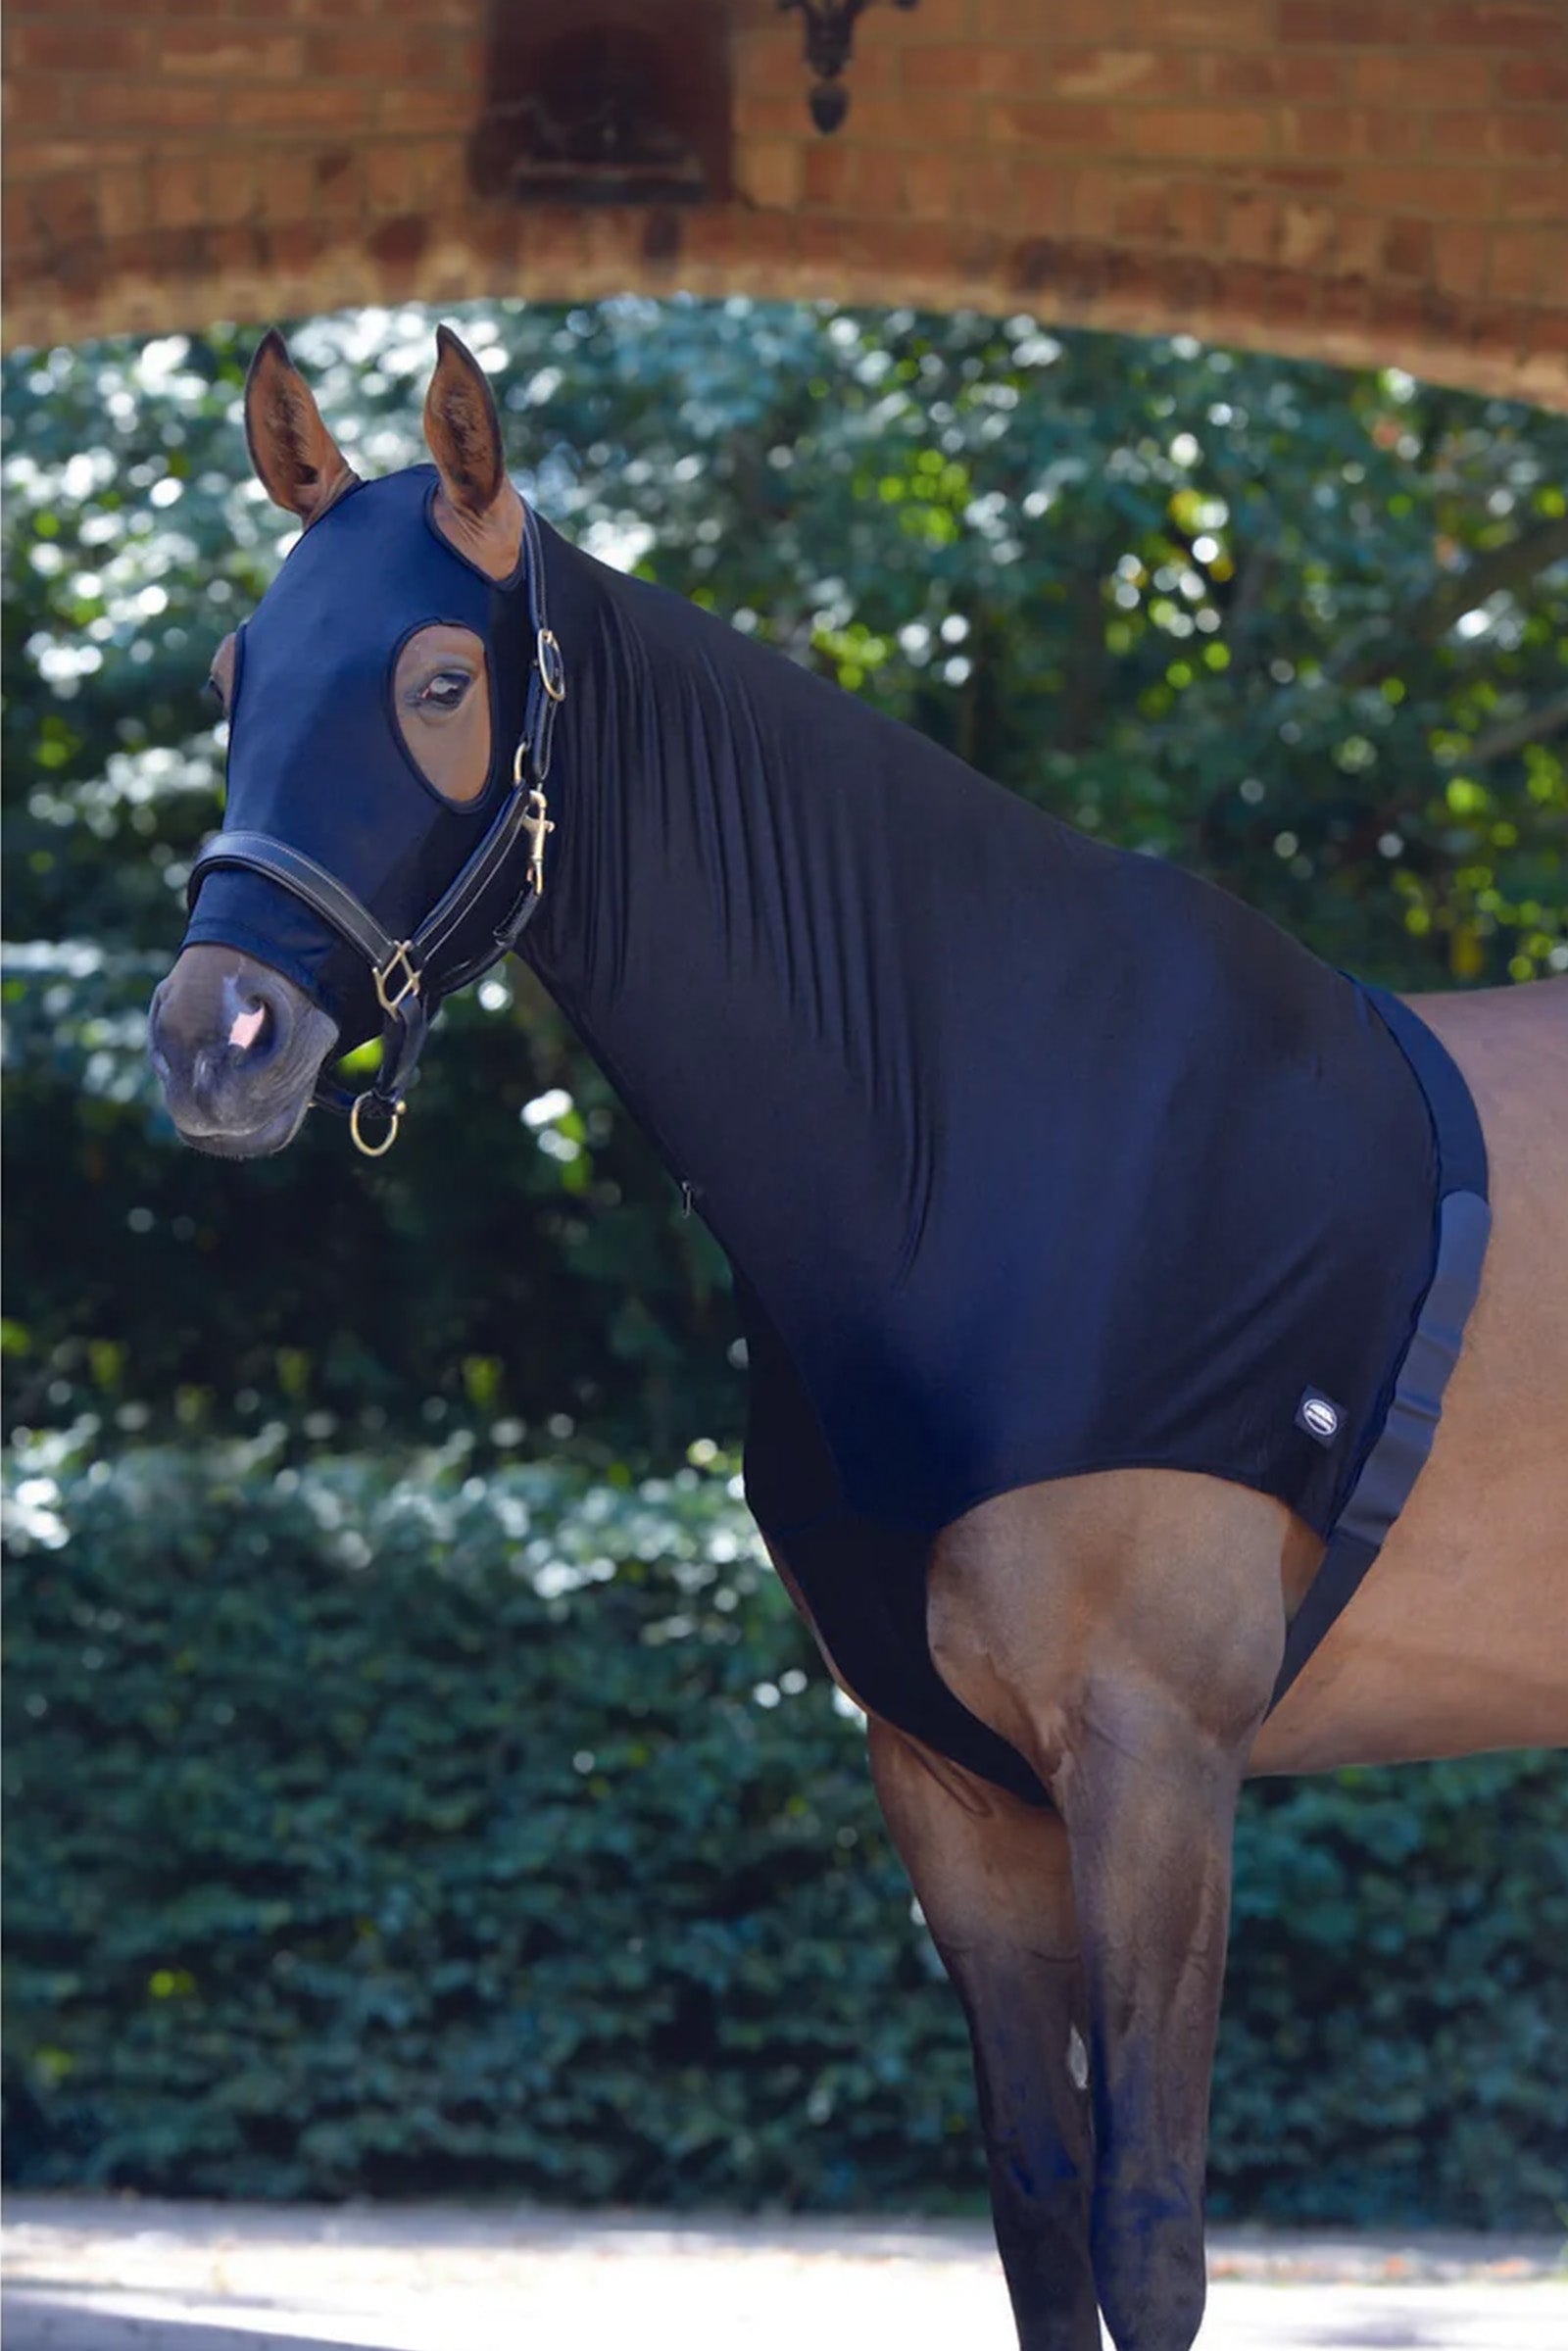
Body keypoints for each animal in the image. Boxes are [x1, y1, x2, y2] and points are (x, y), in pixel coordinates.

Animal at [147, 327, 1568, 2351]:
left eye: (436, 677)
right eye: (231, 675)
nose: (217, 1042)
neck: (984, 1138)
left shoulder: (1157, 1757)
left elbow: (1149, 2231)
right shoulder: (946, 1777)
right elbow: (1042, 2212)